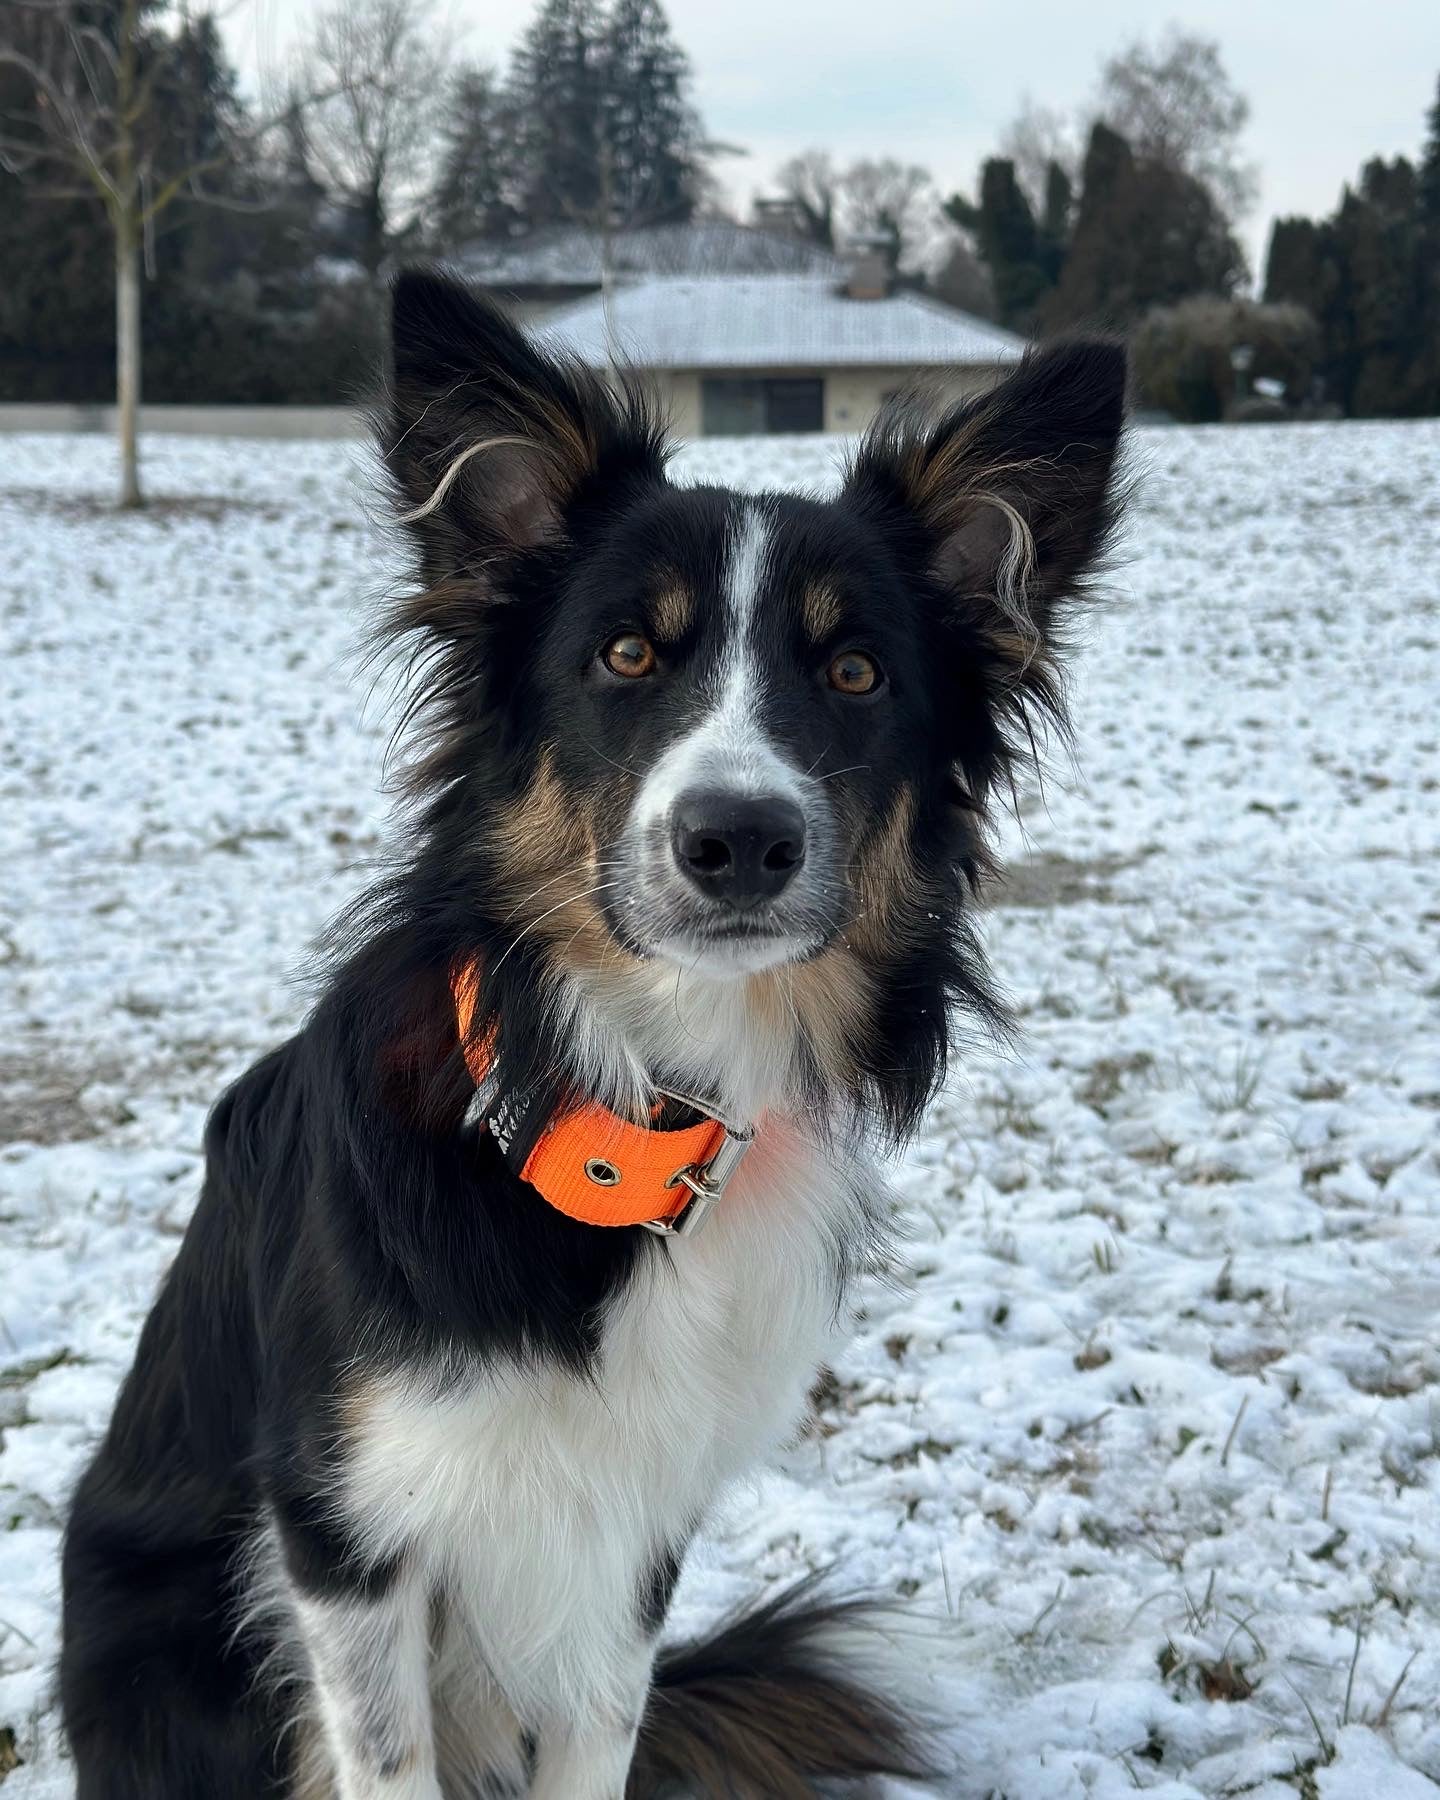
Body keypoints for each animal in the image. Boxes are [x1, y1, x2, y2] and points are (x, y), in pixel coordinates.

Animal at [58, 270, 1123, 1800]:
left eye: (857, 672)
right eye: (626, 653)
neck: (610, 1116)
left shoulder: (631, 1533)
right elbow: (382, 1754)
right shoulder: (344, 1531)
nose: (739, 840)